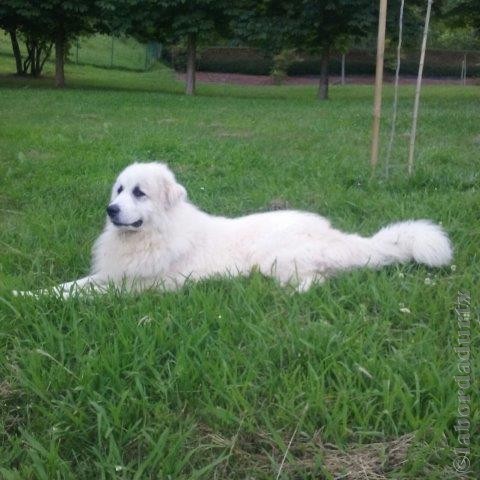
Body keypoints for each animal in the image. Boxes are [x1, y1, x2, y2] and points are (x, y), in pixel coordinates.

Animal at [16, 161, 454, 296]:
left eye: (139, 193)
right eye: (119, 190)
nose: (111, 210)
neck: (157, 232)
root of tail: (341, 237)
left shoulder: (127, 285)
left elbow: (74, 294)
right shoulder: (110, 274)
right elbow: (65, 286)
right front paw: (24, 294)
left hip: (277, 256)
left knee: (317, 281)